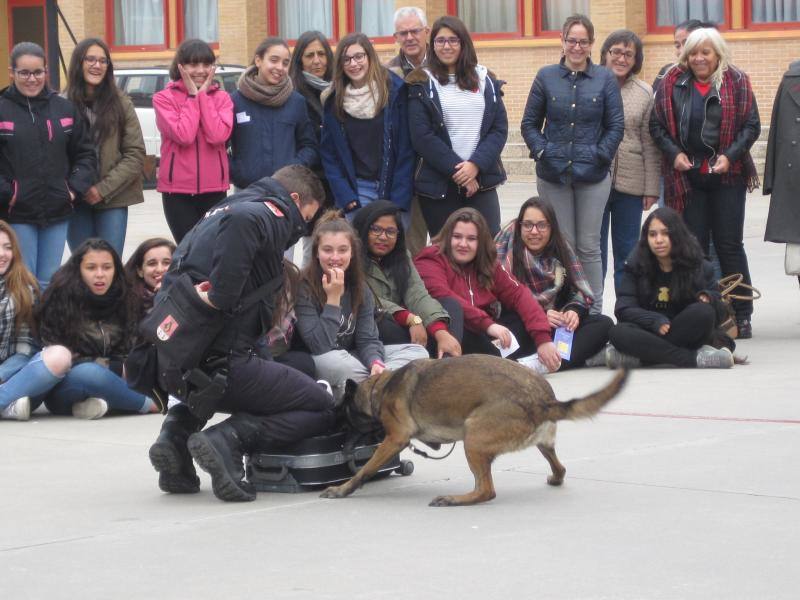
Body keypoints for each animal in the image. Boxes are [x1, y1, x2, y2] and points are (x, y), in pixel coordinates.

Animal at [322, 356, 628, 506]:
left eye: (344, 415)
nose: (332, 427)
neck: (381, 388)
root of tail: (543, 401)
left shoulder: (394, 439)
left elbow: (364, 470)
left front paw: (342, 489)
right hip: (542, 444)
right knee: (560, 468)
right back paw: (554, 478)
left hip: (473, 437)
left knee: (486, 491)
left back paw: (454, 499)